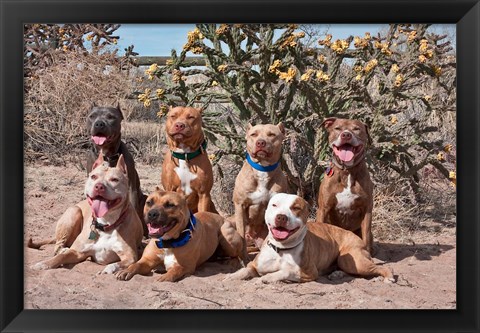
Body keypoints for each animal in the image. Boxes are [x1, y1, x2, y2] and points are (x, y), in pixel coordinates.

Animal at [225, 192, 394, 282]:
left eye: (296, 208)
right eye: (274, 205)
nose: (281, 217)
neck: (282, 249)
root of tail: (357, 237)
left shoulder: (309, 272)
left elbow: (287, 271)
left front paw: (269, 277)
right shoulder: (254, 265)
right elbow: (245, 270)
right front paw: (232, 276)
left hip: (352, 260)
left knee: (380, 267)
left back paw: (389, 276)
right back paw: (337, 273)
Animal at [232, 122, 288, 264]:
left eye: (272, 134)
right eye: (254, 134)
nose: (261, 142)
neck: (263, 169)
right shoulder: (240, 206)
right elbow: (241, 235)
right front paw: (244, 259)